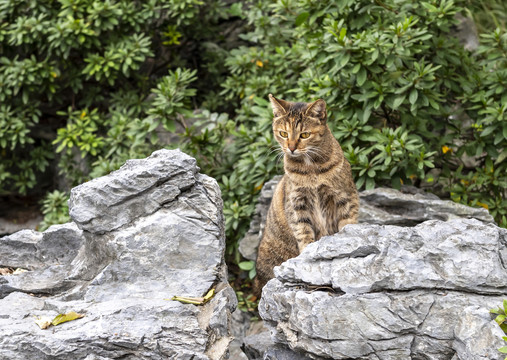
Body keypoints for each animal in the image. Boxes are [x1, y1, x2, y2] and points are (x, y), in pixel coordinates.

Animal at [253, 94, 358, 296]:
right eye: (283, 134)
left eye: (304, 135)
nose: (291, 148)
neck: (311, 170)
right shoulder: (297, 203)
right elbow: (303, 232)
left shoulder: (345, 197)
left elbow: (347, 225)